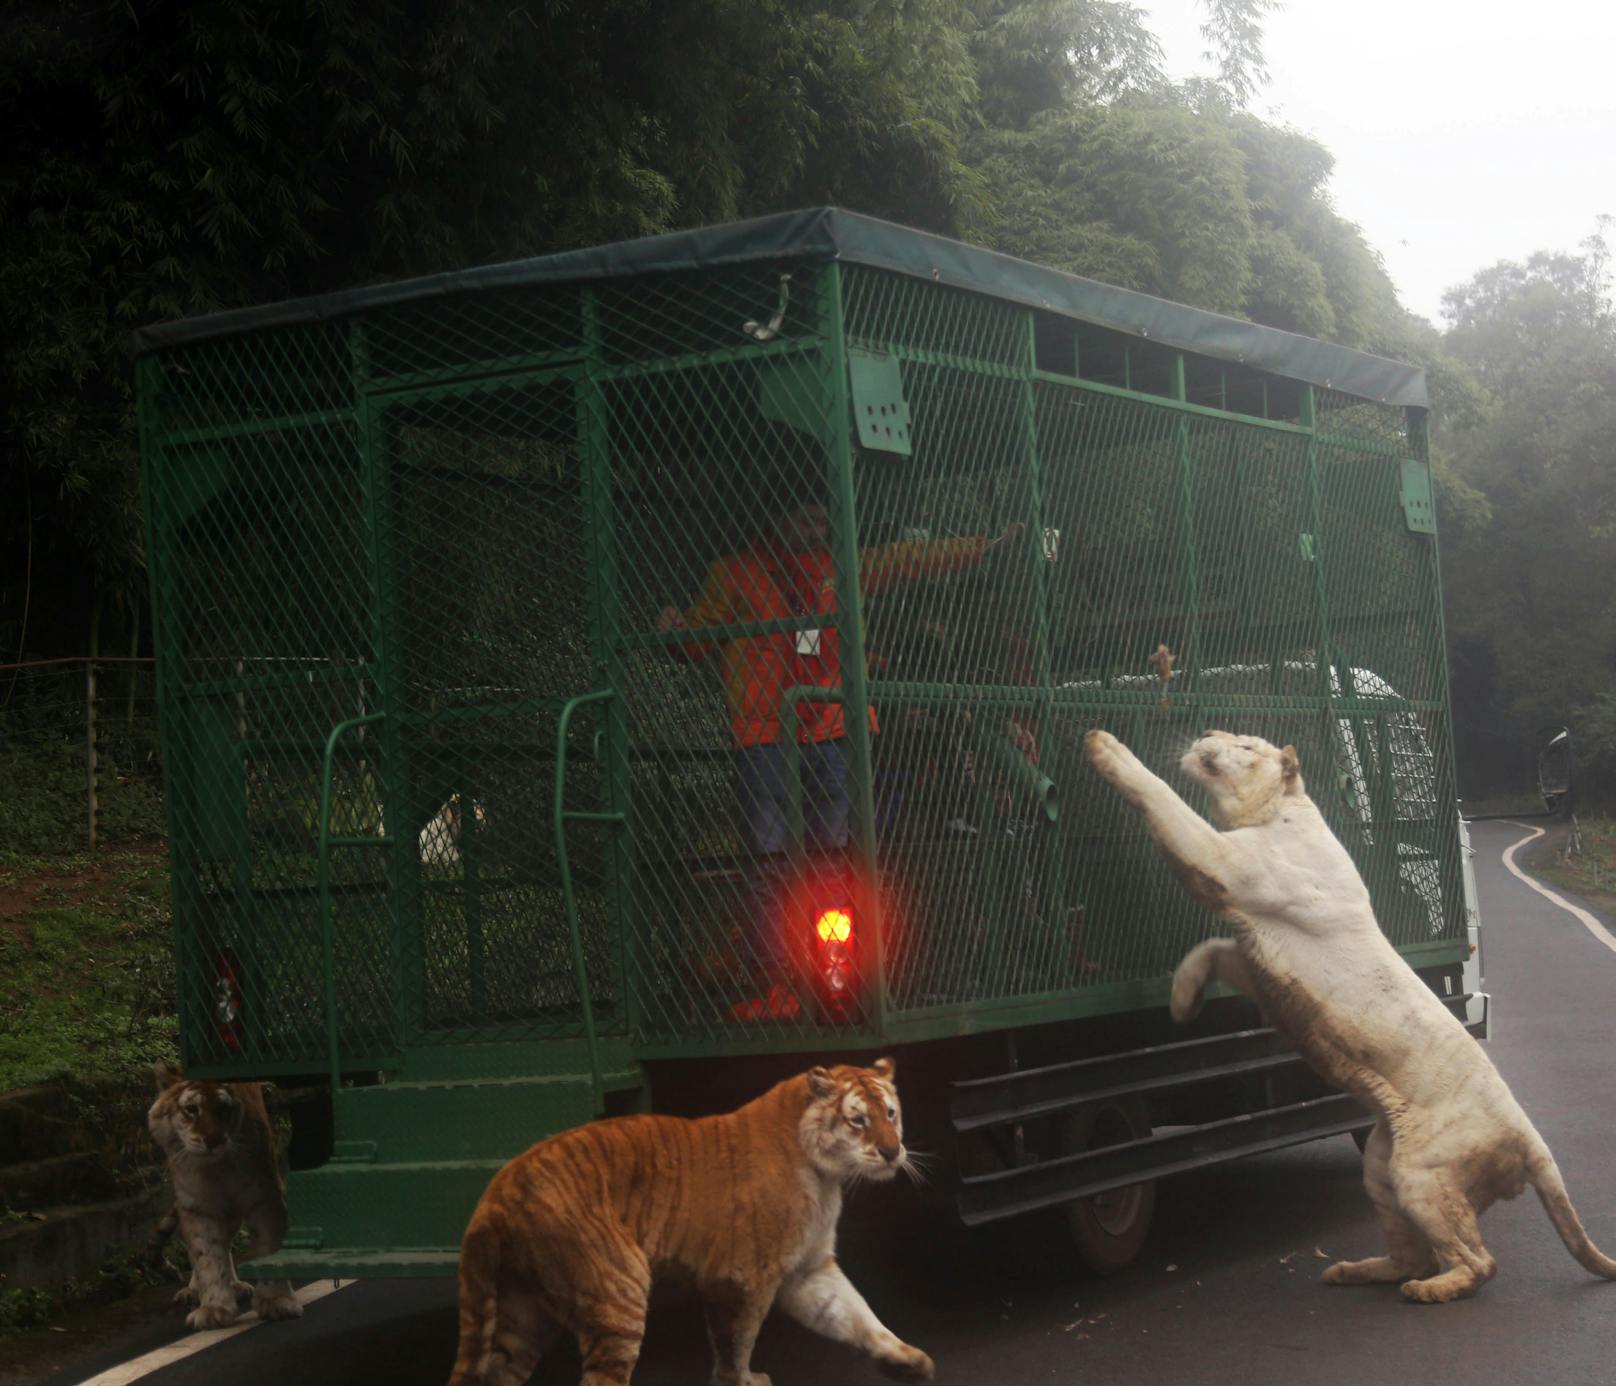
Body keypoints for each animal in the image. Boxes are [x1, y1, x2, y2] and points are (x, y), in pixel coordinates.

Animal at [147, 1059, 302, 1331]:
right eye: (191, 1109)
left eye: (223, 1109)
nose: (213, 1140)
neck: (216, 1171)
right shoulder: (198, 1206)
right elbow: (207, 1255)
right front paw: (213, 1308)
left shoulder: (265, 1197)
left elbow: (268, 1246)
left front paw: (277, 1301)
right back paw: (195, 1290)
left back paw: (237, 1286)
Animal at [452, 1053, 937, 1376]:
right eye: (858, 1120)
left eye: (890, 1113)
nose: (893, 1151)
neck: (826, 1175)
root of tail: (494, 1197)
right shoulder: (744, 1278)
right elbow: (737, 1345)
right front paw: (745, 1381)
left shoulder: (807, 1270)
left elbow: (852, 1312)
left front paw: (906, 1357)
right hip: (618, 1291)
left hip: (520, 1319)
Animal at [1079, 730, 1616, 1298]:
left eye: (1244, 745)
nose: (1206, 736)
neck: (1272, 811)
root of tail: (1529, 1136)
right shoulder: (1253, 953)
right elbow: (1209, 950)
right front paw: (1182, 1002)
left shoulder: (1230, 867)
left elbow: (1165, 802)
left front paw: (1105, 747)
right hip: (1380, 1167)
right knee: (1412, 1253)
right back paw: (1351, 1270)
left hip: (1422, 1173)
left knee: (1477, 1261)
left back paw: (1428, 1290)